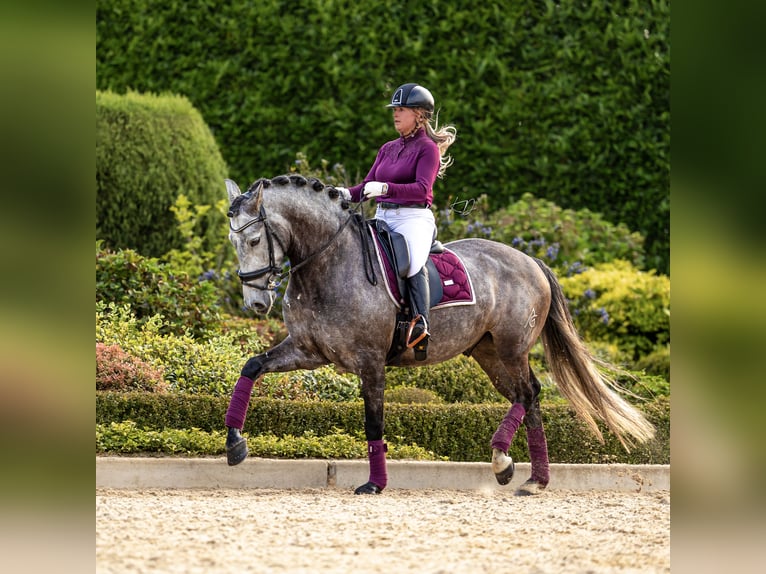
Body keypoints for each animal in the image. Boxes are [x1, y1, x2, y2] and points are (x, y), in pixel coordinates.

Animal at [220, 174, 656, 496]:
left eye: (255, 240)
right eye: (232, 241)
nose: (256, 304)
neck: (329, 262)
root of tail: (529, 259)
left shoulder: (370, 363)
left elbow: (374, 423)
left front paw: (375, 483)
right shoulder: (309, 351)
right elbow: (252, 366)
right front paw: (235, 445)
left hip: (511, 348)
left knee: (528, 393)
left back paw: (503, 460)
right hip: (489, 354)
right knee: (527, 396)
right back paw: (533, 478)